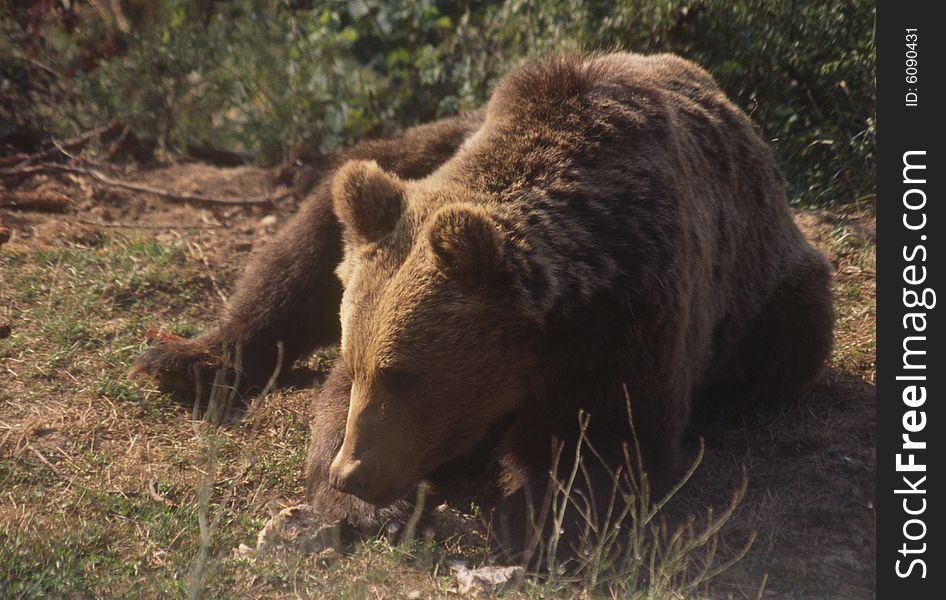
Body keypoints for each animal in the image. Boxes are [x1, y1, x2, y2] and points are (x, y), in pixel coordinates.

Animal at [131, 51, 824, 556]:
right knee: (310, 236)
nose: (355, 472)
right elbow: (329, 399)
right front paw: (379, 507)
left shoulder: (635, 314)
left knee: (787, 340)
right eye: (361, 365)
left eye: (404, 374)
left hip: (776, 296)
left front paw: (531, 520)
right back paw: (187, 360)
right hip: (411, 155)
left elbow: (610, 443)